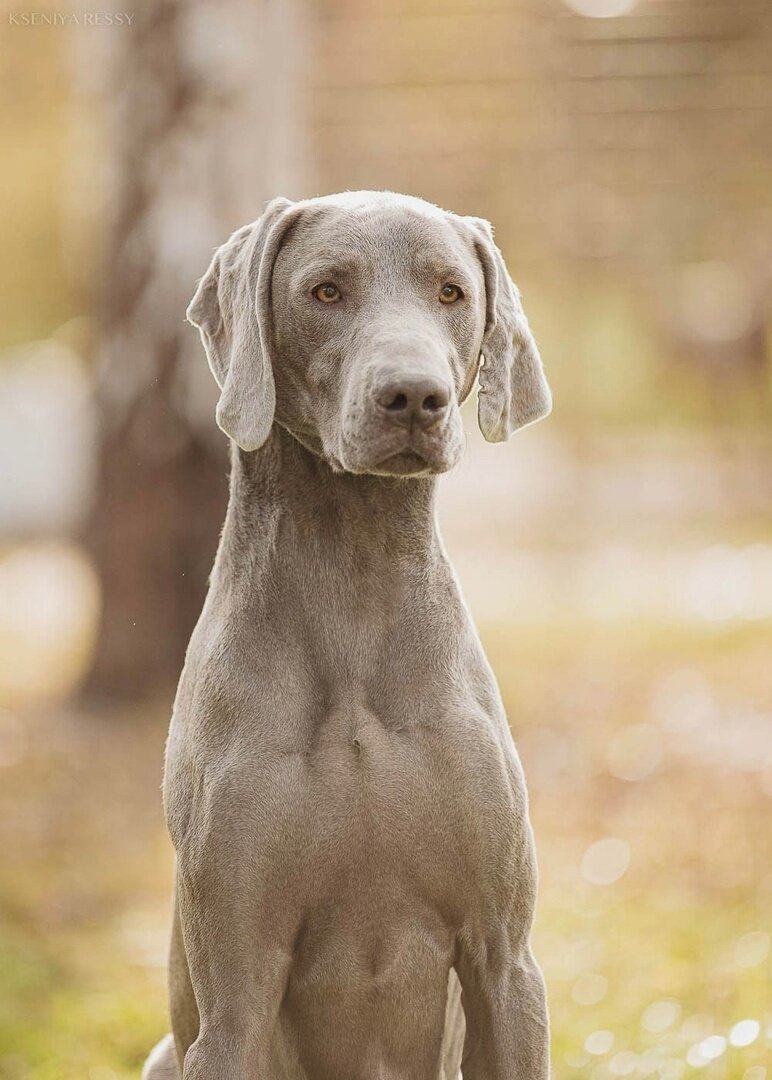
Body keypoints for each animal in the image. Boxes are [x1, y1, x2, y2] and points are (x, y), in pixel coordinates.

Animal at [141, 192, 552, 1080]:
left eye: (451, 292)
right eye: (326, 291)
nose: (414, 397)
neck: (354, 589)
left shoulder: (506, 963)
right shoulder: (234, 995)